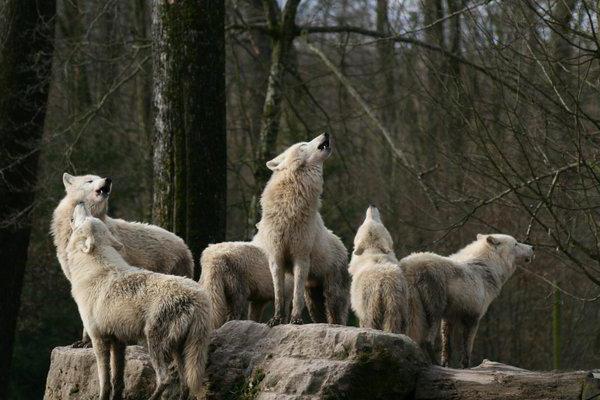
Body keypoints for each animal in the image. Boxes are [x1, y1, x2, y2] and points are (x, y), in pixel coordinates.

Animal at [65, 205, 211, 398]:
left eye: (86, 218)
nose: (81, 203)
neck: (93, 270)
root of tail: (199, 297)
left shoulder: (99, 339)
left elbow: (104, 382)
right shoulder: (118, 342)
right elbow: (117, 381)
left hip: (155, 344)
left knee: (165, 378)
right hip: (179, 350)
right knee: (185, 382)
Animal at [254, 133, 350, 326]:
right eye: (303, 145)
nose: (326, 133)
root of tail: (342, 245)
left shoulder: (301, 257)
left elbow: (296, 296)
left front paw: (296, 319)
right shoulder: (276, 258)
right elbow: (279, 295)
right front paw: (276, 319)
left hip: (333, 296)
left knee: (337, 318)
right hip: (313, 299)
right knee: (320, 317)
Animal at [350, 206, 410, 334]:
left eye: (364, 222)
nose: (372, 205)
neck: (373, 252)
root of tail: (385, 282)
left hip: (370, 303)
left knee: (370, 322)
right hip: (397, 303)